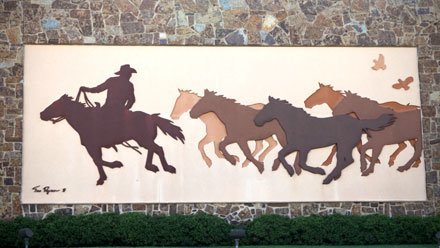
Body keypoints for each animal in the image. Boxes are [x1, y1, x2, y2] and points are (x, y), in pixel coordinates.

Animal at [40, 94, 185, 185]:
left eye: (55, 105)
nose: (41, 114)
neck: (85, 120)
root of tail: (151, 117)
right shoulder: (94, 147)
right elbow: (98, 161)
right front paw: (107, 173)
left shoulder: (92, 146)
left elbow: (97, 161)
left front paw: (110, 170)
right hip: (144, 140)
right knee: (153, 149)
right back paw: (150, 166)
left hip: (143, 140)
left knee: (158, 149)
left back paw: (168, 168)